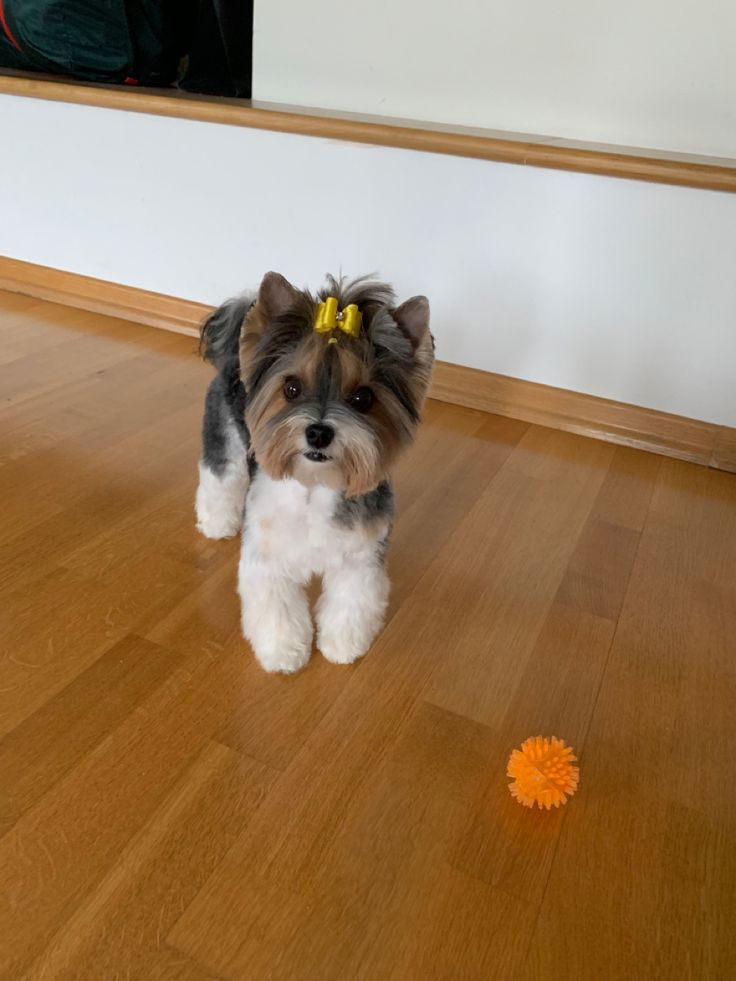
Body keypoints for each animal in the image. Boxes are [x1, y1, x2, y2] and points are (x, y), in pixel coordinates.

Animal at [196, 272, 434, 676]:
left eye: (363, 398)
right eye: (292, 387)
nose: (319, 432)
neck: (317, 485)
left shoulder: (360, 555)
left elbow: (351, 602)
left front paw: (343, 646)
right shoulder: (269, 556)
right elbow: (277, 609)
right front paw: (283, 652)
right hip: (223, 433)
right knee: (220, 476)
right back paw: (217, 523)